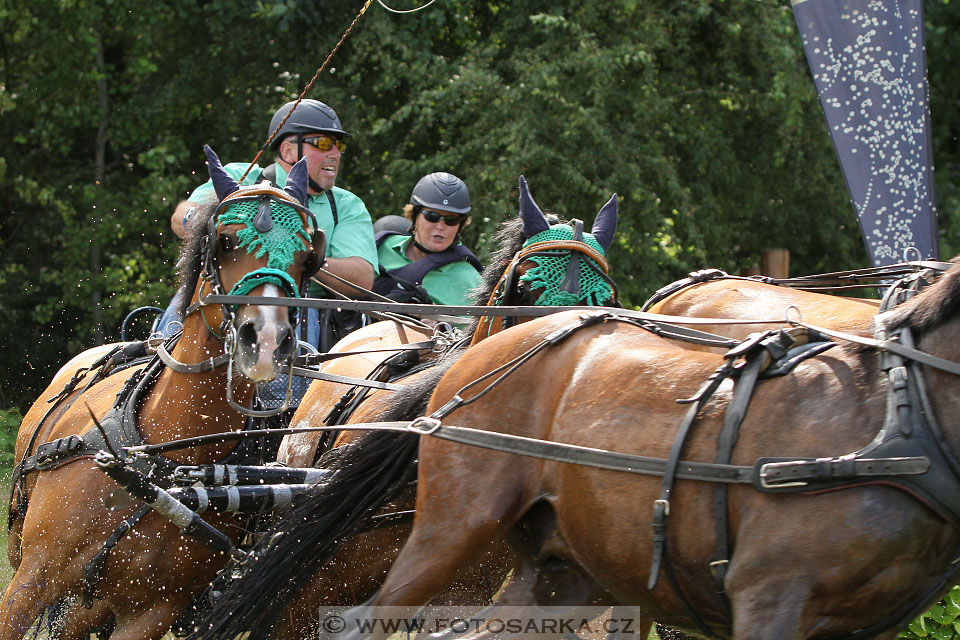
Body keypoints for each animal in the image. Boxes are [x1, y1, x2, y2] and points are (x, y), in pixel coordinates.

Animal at [1, 146, 326, 640]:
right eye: (224, 241)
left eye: (308, 255)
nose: (267, 339)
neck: (162, 453)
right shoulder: (31, 581)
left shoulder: (151, 613)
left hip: (93, 603)